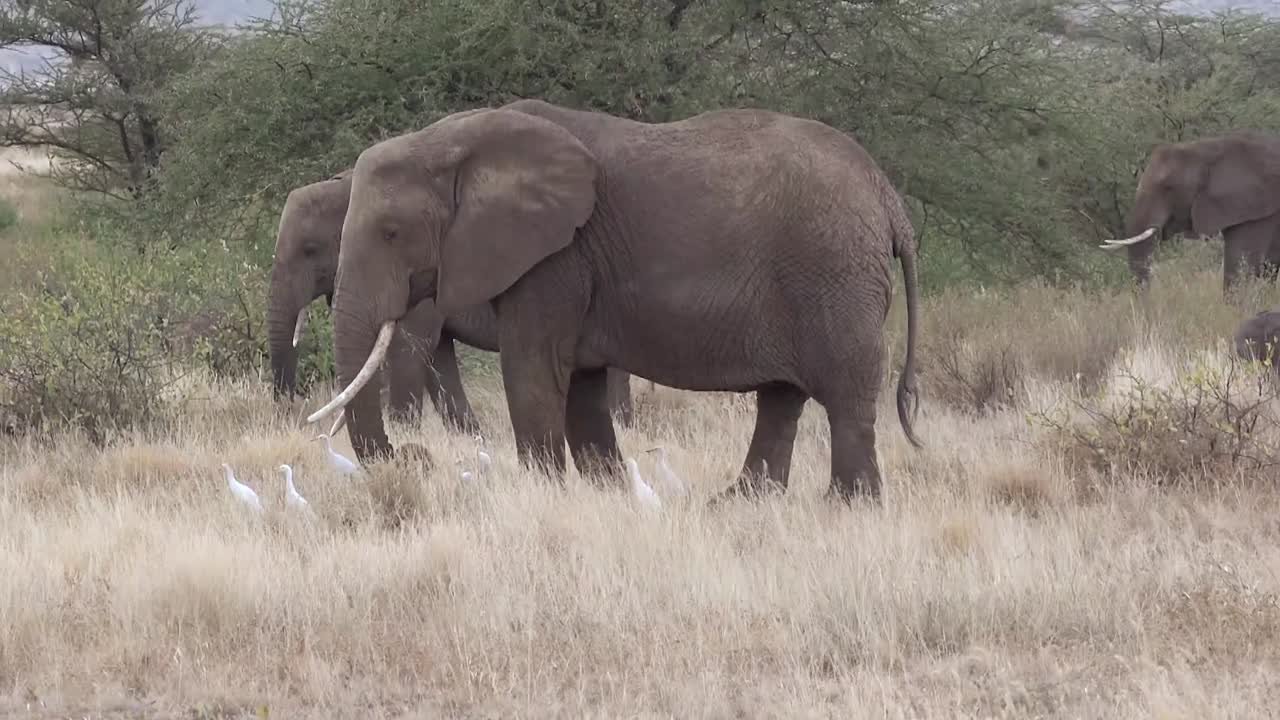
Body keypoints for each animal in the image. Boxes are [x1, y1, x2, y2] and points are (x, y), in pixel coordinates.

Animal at [267, 170, 636, 443]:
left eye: (309, 250)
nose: (291, 418)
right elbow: (436, 359)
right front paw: (472, 439)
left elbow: (409, 348)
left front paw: (404, 434)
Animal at [307, 98, 923, 502]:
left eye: (390, 232)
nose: (414, 455)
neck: (454, 139)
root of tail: (889, 198)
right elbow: (579, 384)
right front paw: (608, 494)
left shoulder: (556, 257)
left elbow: (533, 369)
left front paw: (547, 495)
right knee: (782, 398)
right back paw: (740, 502)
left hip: (834, 274)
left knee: (843, 394)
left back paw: (848, 505)